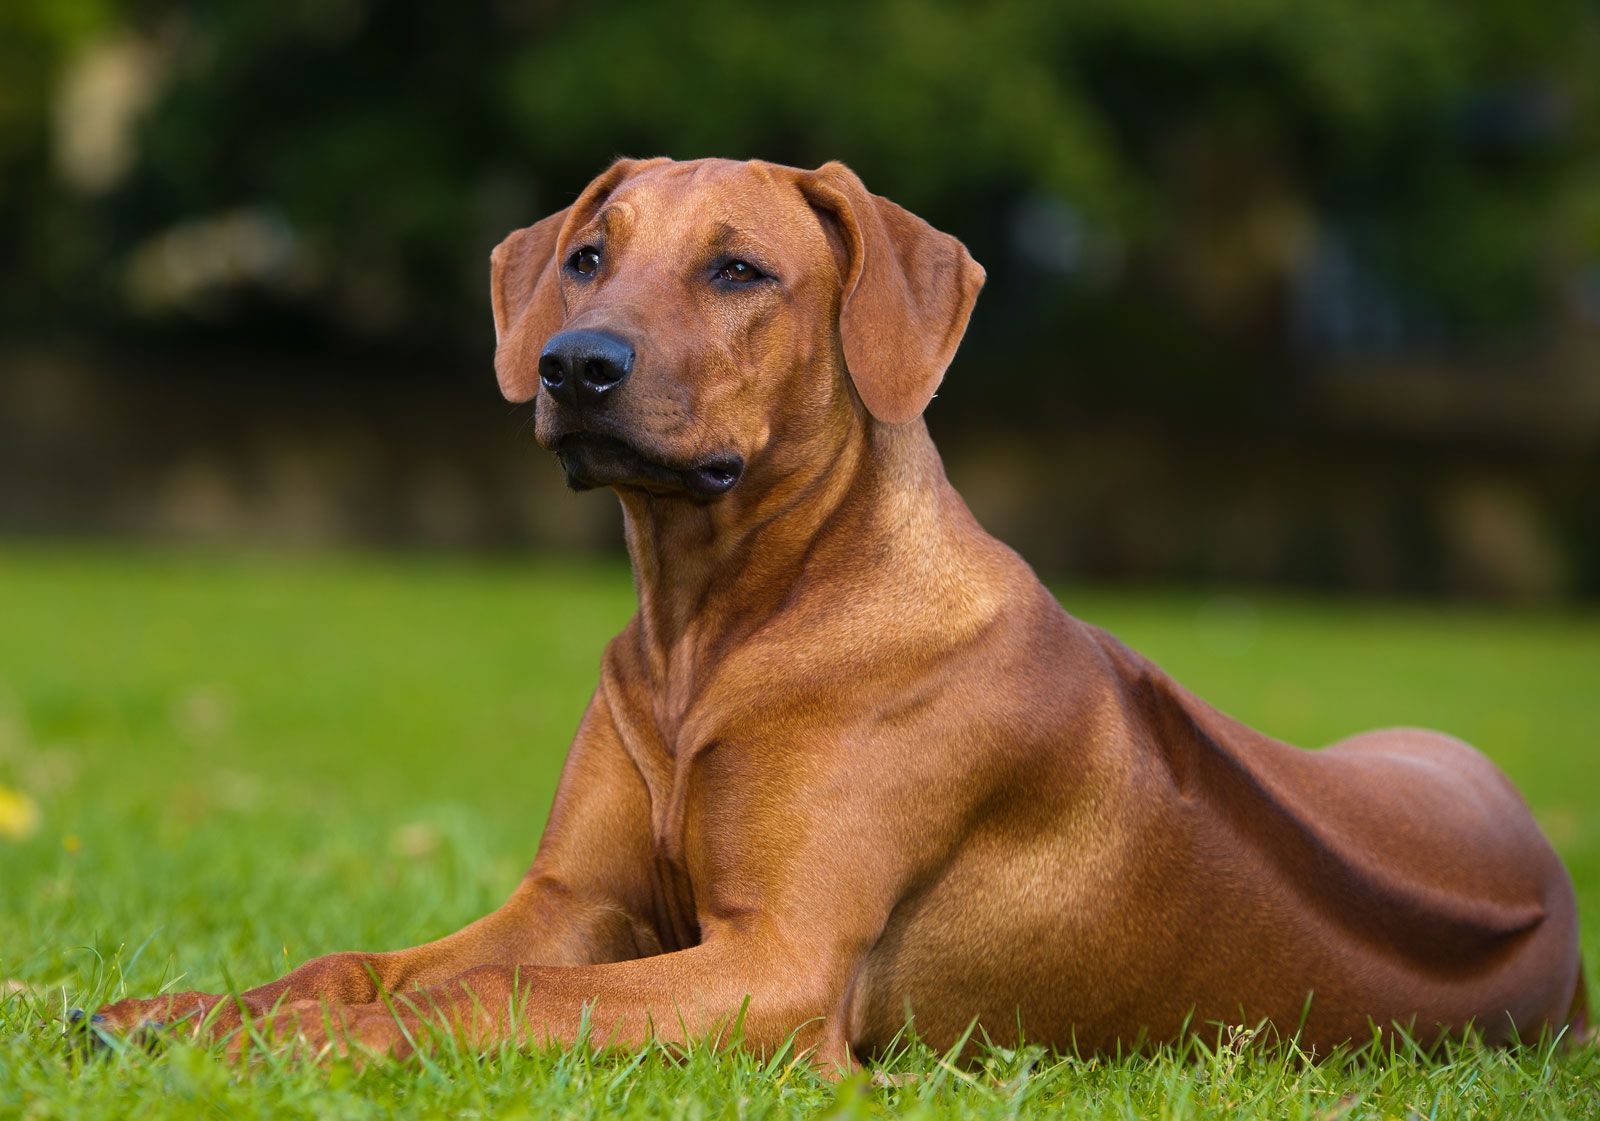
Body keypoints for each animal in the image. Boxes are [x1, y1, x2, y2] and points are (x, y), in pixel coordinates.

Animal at [96, 155, 1587, 1055]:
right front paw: (198, 1004)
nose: (574, 365)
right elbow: (372, 955)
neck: (714, 625)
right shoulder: (572, 895)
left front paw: (291, 1041)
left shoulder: (781, 964)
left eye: (739, 270)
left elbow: (500, 987)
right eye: (586, 258)